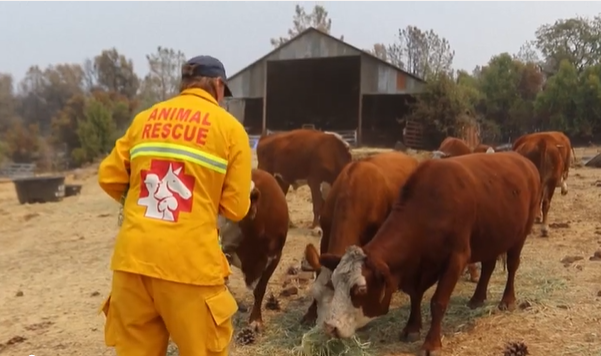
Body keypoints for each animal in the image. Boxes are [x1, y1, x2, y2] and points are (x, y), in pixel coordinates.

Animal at [318, 153, 540, 356]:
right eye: (334, 284)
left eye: (361, 290)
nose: (330, 327)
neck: (428, 211)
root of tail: (524, 160)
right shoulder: (419, 266)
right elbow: (415, 296)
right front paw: (412, 327)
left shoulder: (456, 259)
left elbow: (438, 302)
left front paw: (431, 343)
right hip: (490, 239)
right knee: (488, 266)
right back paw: (477, 298)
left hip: (521, 234)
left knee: (512, 265)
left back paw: (507, 300)